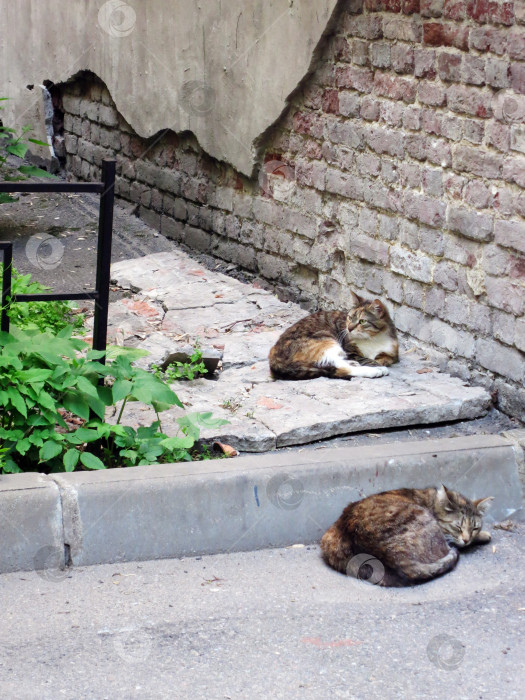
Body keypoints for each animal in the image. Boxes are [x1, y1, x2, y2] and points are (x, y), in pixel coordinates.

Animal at [268, 292, 400, 380]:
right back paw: (373, 371)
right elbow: (366, 359)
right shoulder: (350, 351)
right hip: (325, 339)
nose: (349, 328)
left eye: (362, 321)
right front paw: (378, 366)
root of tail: (274, 359)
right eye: (350, 317)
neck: (373, 338)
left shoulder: (392, 354)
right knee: (337, 366)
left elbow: (384, 359)